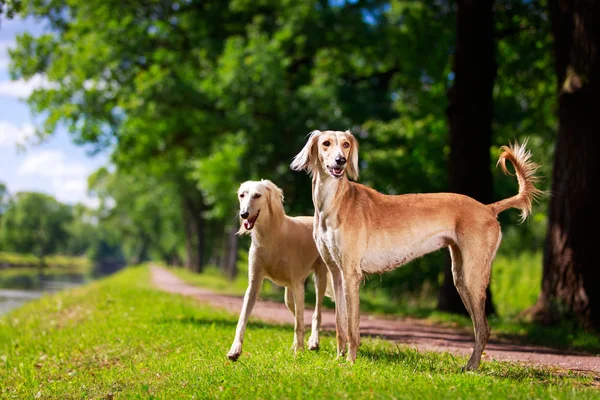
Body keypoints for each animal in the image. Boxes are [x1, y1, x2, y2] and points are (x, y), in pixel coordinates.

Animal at [226, 180, 332, 360]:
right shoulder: (254, 283)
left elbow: (299, 323)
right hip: (288, 295)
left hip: (320, 277)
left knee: (316, 312)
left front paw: (299, 352)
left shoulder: (298, 284)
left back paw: (313, 341)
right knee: (298, 313)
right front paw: (235, 349)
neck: (271, 234)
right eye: (242, 195)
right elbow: (242, 319)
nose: (244, 214)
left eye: (257, 195)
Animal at [290, 130, 544, 370]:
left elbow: (352, 327)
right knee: (480, 326)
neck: (335, 202)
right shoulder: (337, 273)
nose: (340, 161)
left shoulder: (352, 274)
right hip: (461, 277)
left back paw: (471, 367)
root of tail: (488, 208)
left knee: (483, 328)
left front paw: (351, 362)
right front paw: (338, 359)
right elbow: (340, 324)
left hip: (473, 277)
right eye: (326, 144)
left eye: (346, 144)